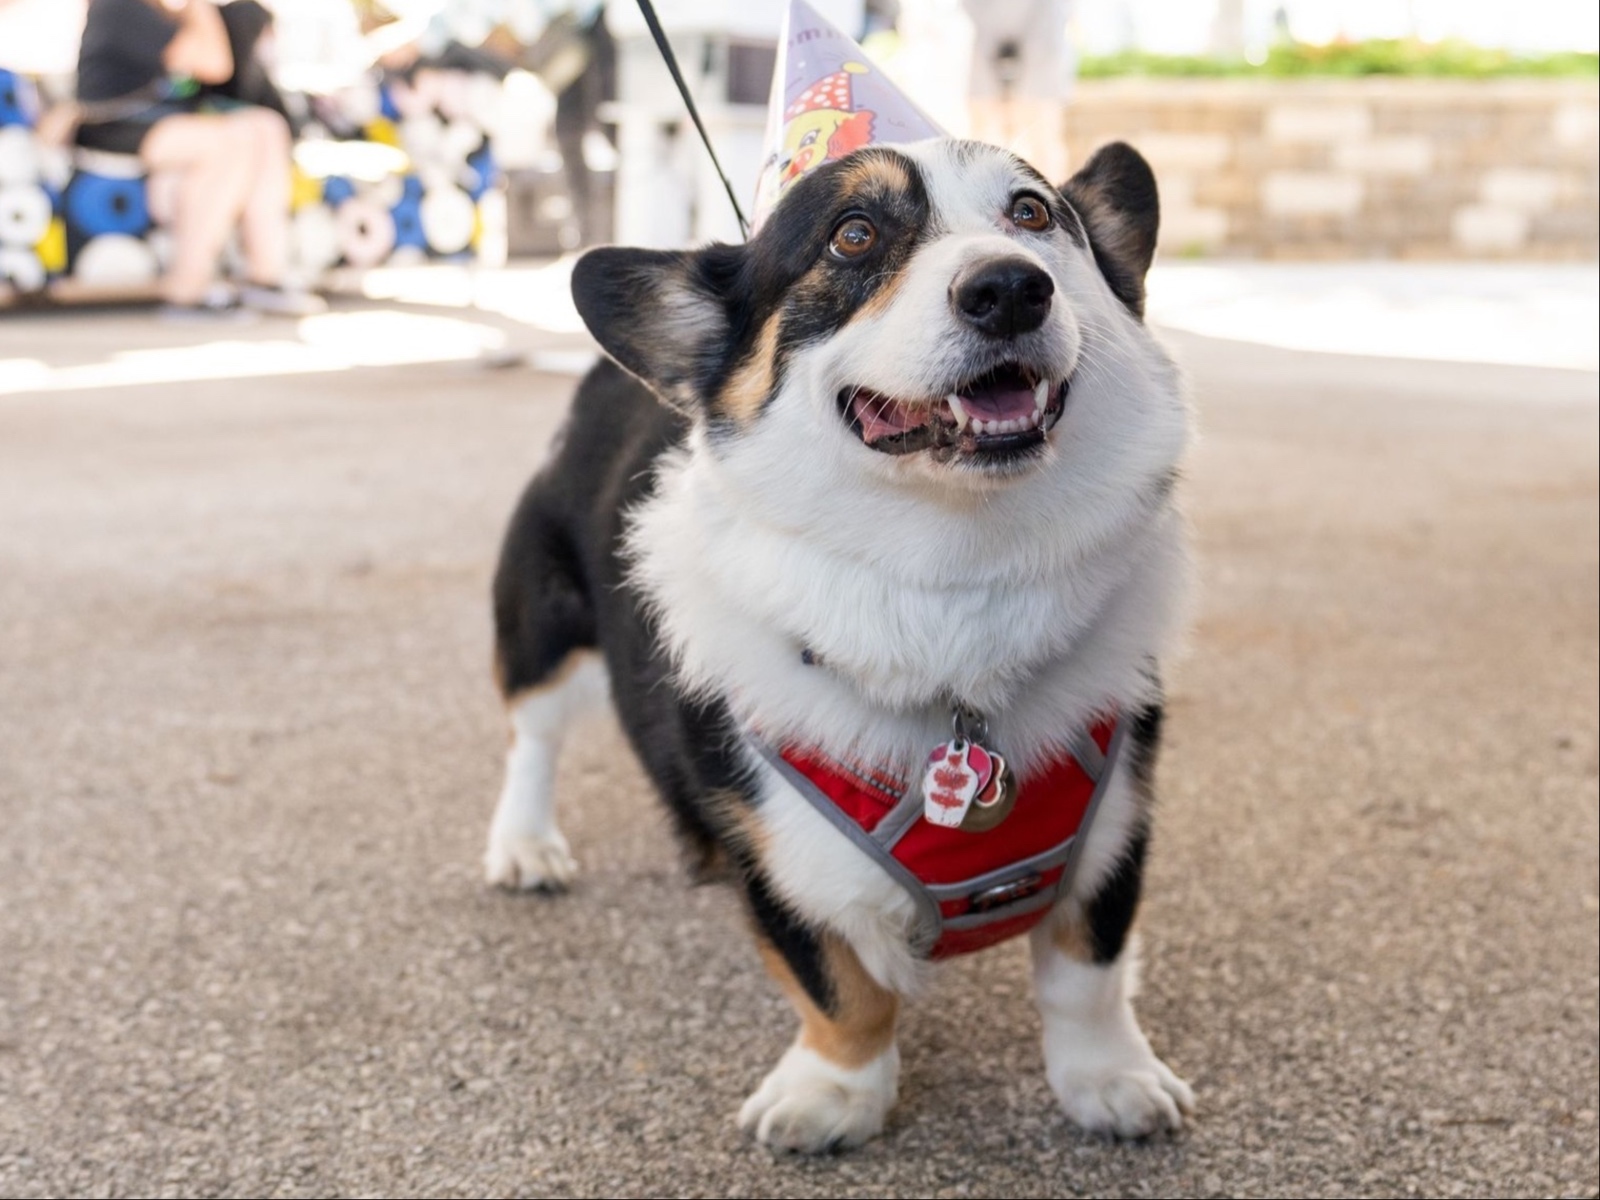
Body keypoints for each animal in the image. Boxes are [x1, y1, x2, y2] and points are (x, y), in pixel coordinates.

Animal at [480, 140, 1196, 1158]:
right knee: (534, 734)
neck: (950, 585)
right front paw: (834, 1097)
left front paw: (1111, 1083)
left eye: (1033, 213)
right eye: (851, 236)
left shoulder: (1115, 828)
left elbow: (1087, 976)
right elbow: (840, 989)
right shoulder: (781, 861)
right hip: (543, 622)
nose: (1010, 289)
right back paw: (525, 845)